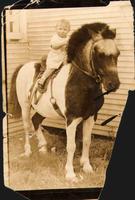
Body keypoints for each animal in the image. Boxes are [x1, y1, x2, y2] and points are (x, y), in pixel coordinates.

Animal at [9, 22, 120, 182]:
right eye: (99, 54)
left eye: (118, 54)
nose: (114, 84)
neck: (81, 82)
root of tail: (24, 66)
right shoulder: (72, 119)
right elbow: (71, 145)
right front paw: (70, 173)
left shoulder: (91, 117)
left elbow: (87, 141)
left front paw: (87, 167)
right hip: (25, 106)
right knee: (27, 127)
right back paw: (28, 151)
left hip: (43, 109)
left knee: (35, 120)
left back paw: (43, 147)